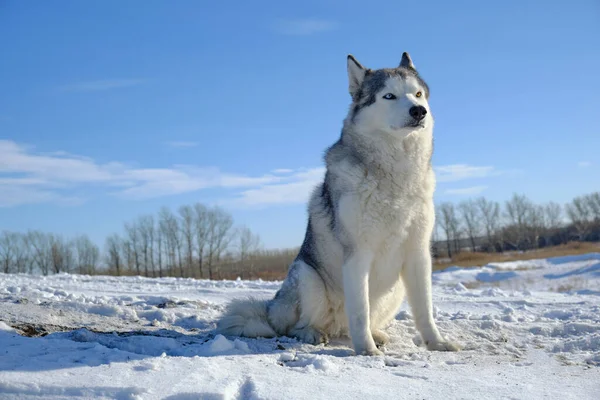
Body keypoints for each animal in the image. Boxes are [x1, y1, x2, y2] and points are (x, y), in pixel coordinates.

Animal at [216, 51, 460, 354]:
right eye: (389, 96)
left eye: (417, 94)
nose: (418, 111)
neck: (395, 176)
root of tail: (271, 310)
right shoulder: (358, 254)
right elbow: (360, 310)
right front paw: (366, 350)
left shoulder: (418, 253)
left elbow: (425, 309)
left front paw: (436, 343)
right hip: (307, 276)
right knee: (298, 325)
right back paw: (312, 333)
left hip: (395, 290)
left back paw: (376, 334)